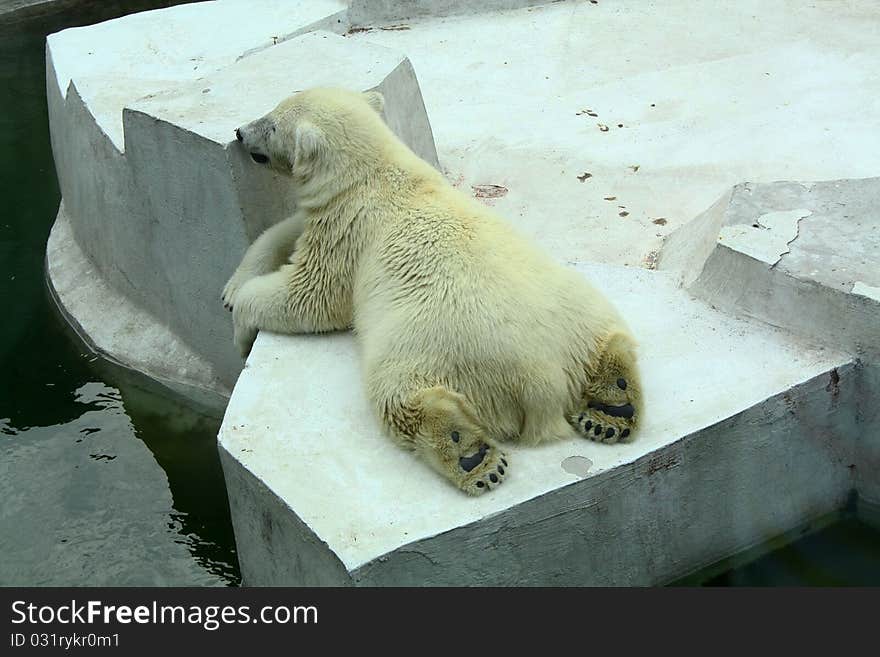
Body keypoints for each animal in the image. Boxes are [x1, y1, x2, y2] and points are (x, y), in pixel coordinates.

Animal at [223, 89, 644, 494]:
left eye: (272, 122)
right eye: (272, 109)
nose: (240, 132)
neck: (377, 174)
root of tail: (544, 382)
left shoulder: (348, 230)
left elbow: (309, 295)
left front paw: (240, 323)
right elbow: (286, 233)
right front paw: (232, 285)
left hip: (432, 349)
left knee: (398, 394)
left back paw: (471, 456)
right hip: (577, 304)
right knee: (611, 337)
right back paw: (613, 406)